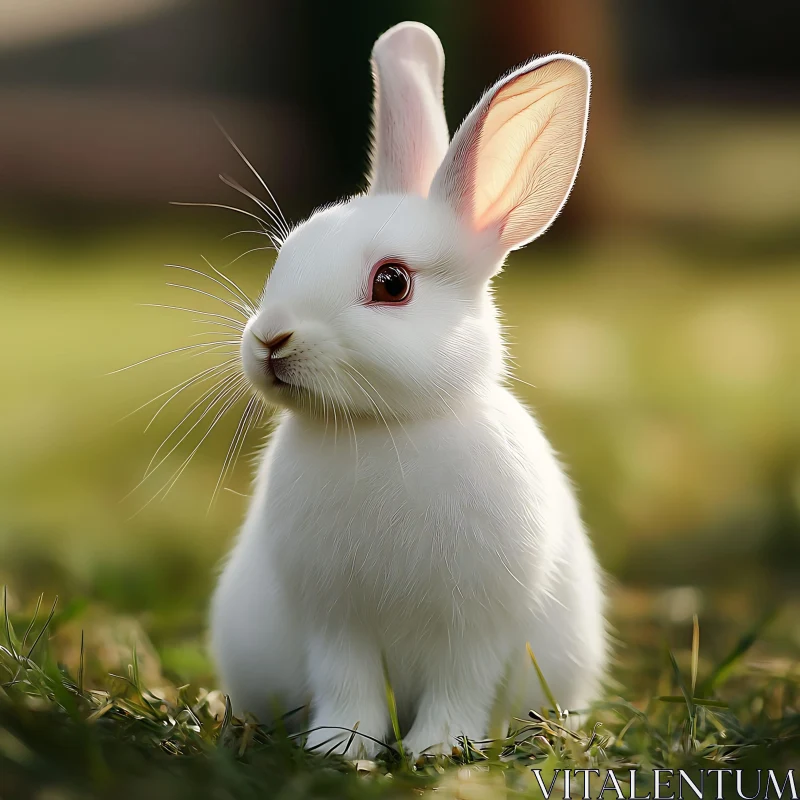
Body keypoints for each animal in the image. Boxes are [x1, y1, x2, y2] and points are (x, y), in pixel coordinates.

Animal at [209, 20, 604, 756]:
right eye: (286, 254)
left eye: (391, 284)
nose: (270, 339)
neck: (384, 427)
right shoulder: (335, 621)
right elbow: (349, 685)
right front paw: (340, 747)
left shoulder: (477, 627)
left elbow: (460, 688)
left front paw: (440, 750)